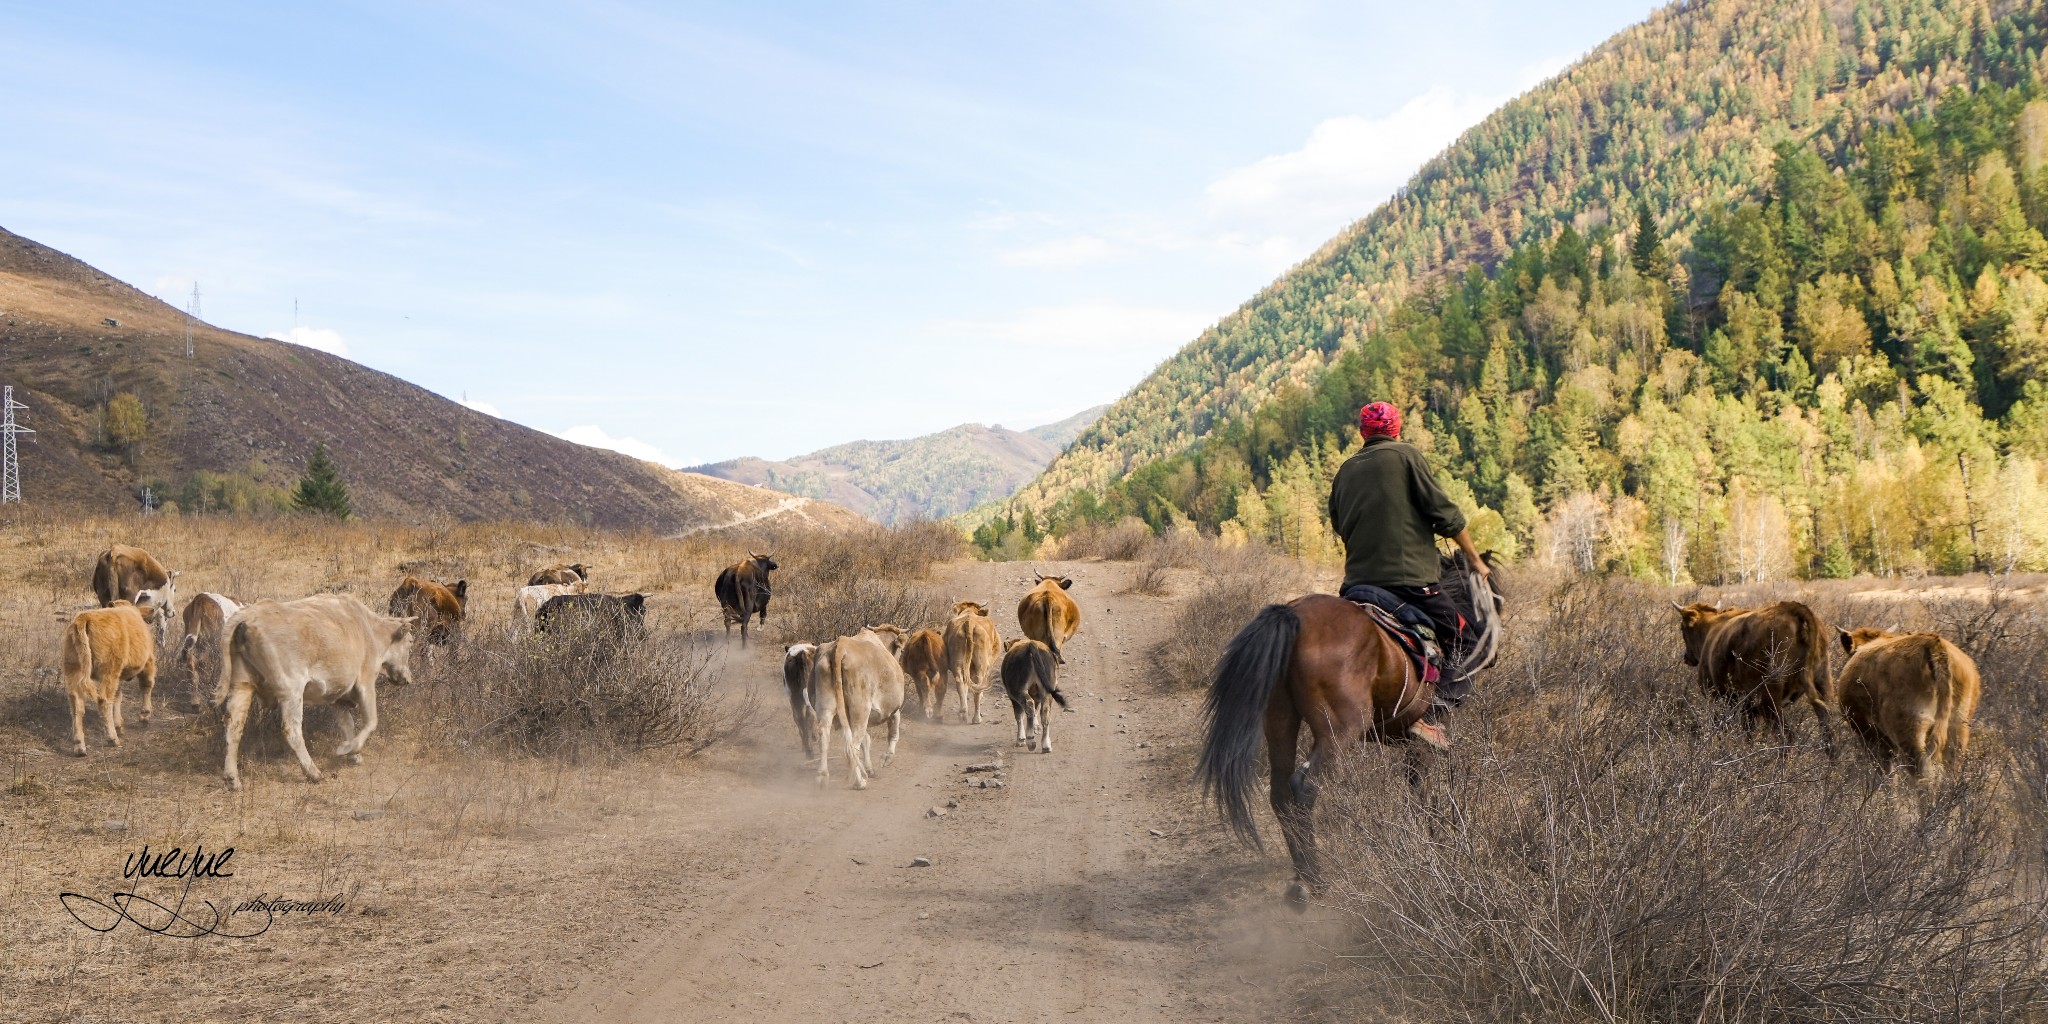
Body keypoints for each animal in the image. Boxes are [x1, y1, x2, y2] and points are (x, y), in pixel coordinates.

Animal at [61, 598, 159, 761]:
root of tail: (85, 617)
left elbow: (118, 696)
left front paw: (119, 724)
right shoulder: (148, 662)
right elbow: (147, 685)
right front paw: (144, 716)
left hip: (74, 670)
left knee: (77, 706)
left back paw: (80, 746)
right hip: (109, 671)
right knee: (104, 700)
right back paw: (112, 738)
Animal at [220, 593, 415, 790]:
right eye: (410, 642)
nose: (408, 678)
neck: (370, 630)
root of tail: (251, 613)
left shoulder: (338, 697)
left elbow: (347, 724)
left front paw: (354, 755)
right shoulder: (366, 682)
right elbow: (371, 722)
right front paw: (347, 748)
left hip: (242, 685)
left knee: (234, 726)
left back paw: (232, 778)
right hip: (291, 690)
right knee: (292, 730)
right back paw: (313, 772)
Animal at [1196, 557, 1507, 909]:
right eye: (1492, 597)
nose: (1492, 654)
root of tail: (1295, 614)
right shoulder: (1423, 740)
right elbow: (1419, 788)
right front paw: (1432, 838)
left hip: (1279, 722)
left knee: (1280, 793)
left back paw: (1300, 876)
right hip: (1338, 732)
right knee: (1304, 788)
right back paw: (1314, 881)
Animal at [1671, 598, 1835, 741]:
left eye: (1682, 628)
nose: (1687, 657)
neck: (1710, 628)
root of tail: (1790, 610)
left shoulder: (1719, 698)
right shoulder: (1748, 708)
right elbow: (1748, 734)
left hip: (1768, 700)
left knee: (1785, 736)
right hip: (1822, 684)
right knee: (1829, 732)